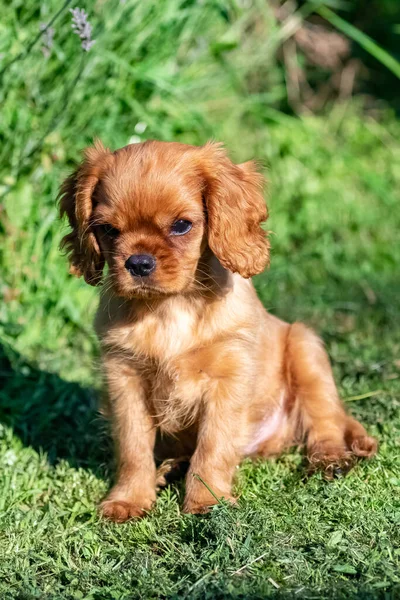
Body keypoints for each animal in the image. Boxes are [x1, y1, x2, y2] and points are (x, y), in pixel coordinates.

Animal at [57, 139, 376, 520]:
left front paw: (206, 502)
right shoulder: (124, 378)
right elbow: (134, 447)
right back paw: (171, 468)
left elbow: (213, 446)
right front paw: (128, 500)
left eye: (181, 225)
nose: (138, 263)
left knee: (325, 421)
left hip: (305, 349)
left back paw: (330, 460)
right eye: (108, 229)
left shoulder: (228, 380)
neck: (170, 307)